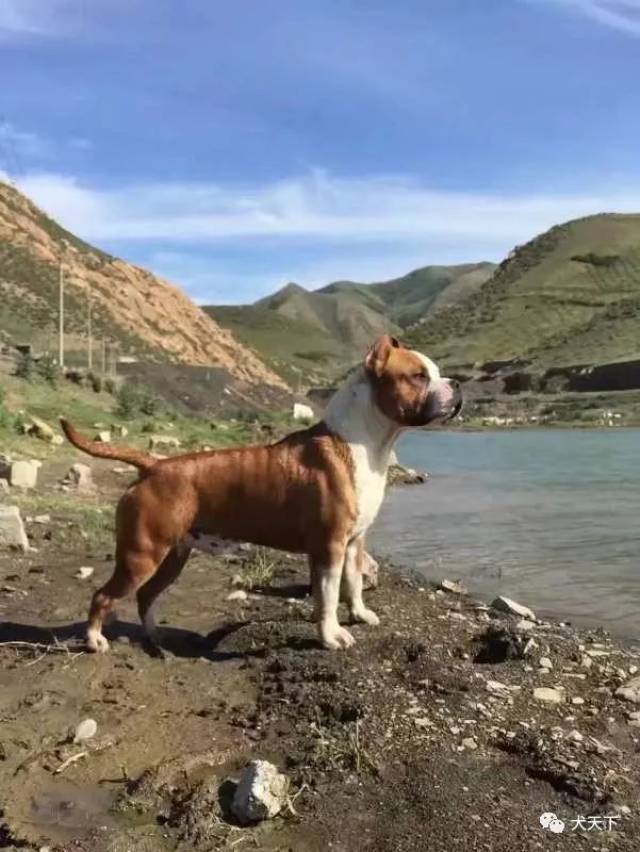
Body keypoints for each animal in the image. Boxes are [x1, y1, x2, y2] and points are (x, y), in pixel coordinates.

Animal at [60, 334, 460, 652]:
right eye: (418, 376)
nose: (457, 384)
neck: (364, 441)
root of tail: (153, 465)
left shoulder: (353, 543)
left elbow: (354, 583)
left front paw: (360, 614)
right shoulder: (329, 547)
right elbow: (329, 596)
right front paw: (331, 636)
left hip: (172, 556)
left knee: (146, 595)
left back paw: (156, 636)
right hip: (141, 555)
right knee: (104, 595)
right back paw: (95, 640)